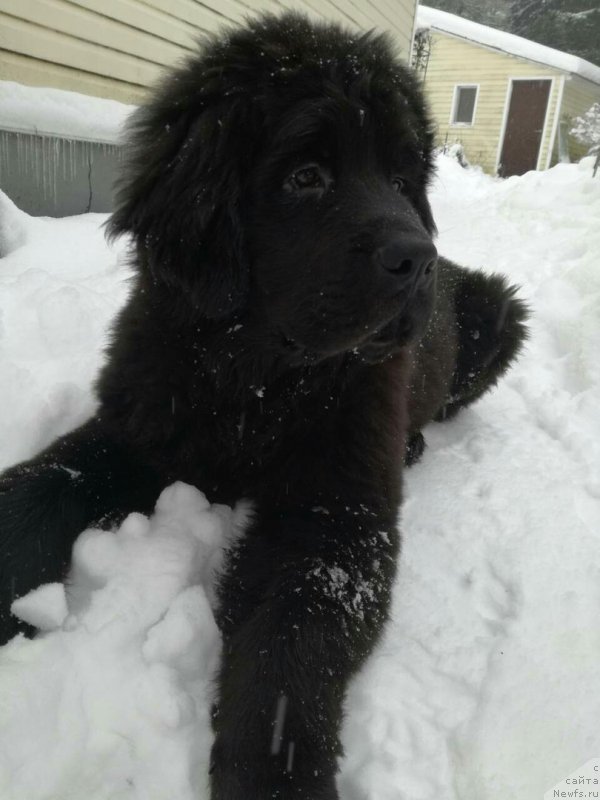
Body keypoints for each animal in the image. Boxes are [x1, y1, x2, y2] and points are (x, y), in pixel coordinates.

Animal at [0, 12, 524, 800]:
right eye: (306, 177)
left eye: (403, 180)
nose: (419, 262)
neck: (254, 381)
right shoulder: (139, 430)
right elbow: (38, 487)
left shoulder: (333, 518)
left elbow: (291, 644)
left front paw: (275, 774)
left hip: (499, 310)